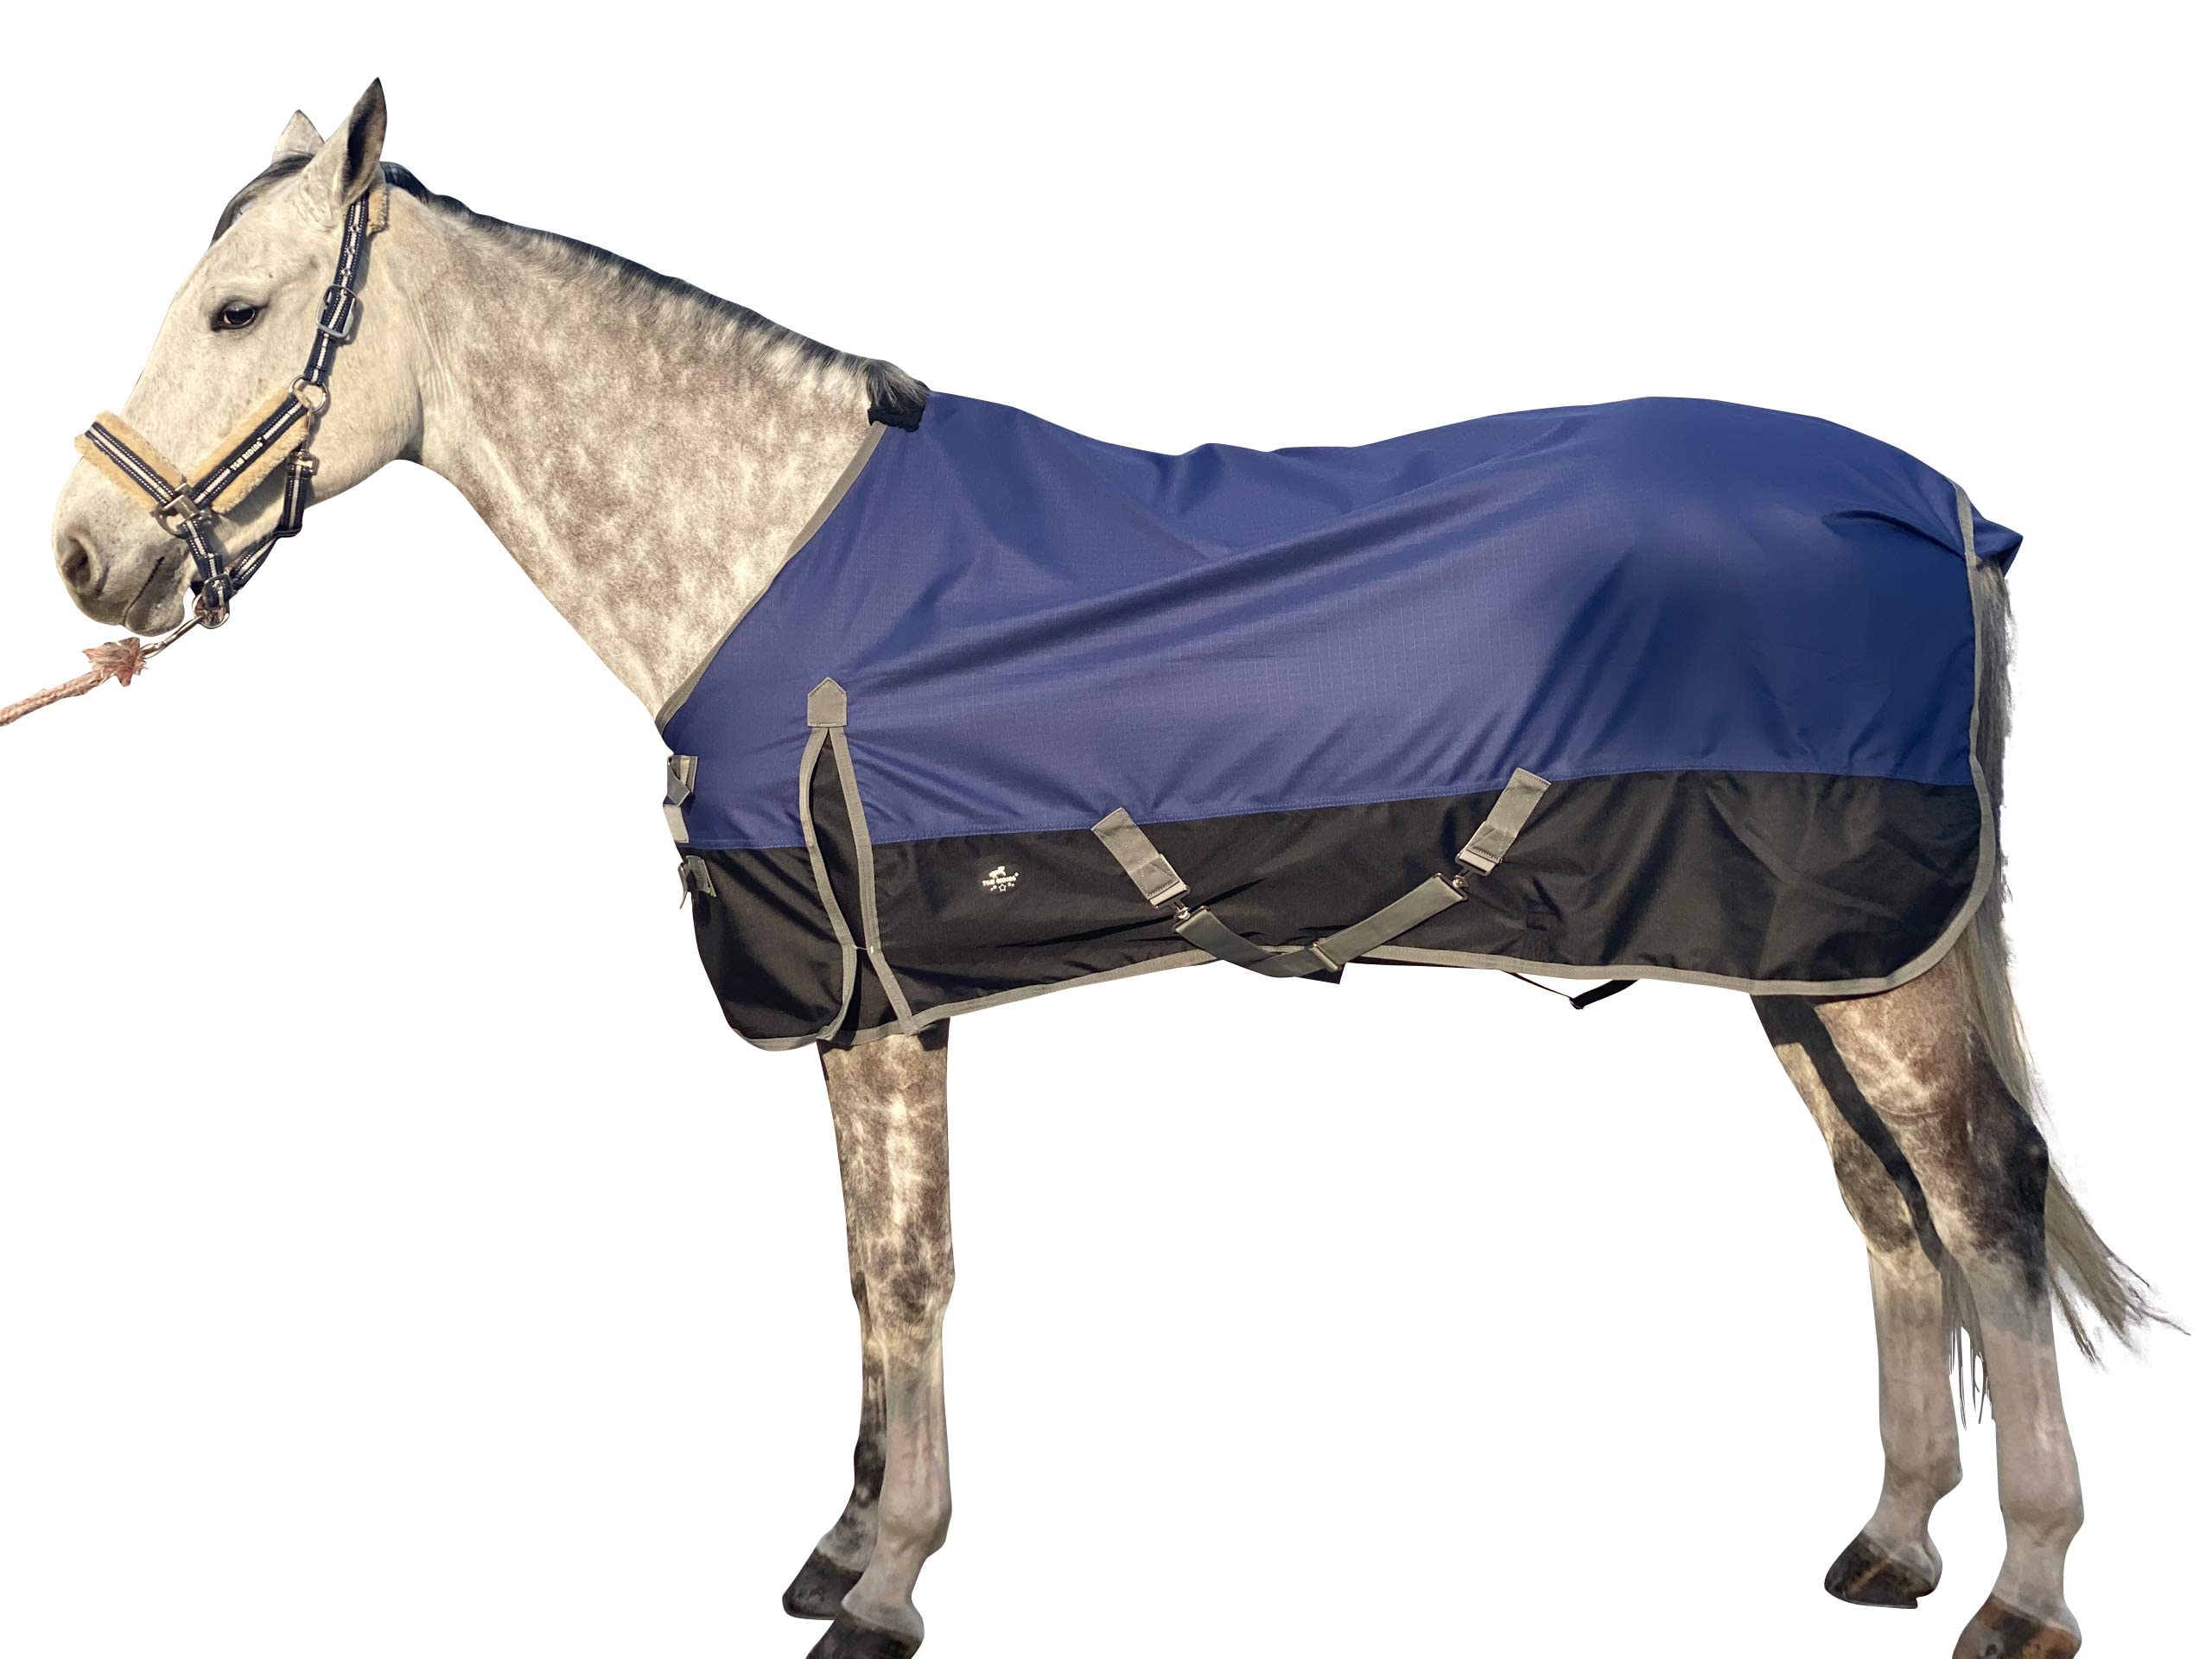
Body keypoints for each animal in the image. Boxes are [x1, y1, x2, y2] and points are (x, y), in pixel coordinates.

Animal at [46, 81, 2162, 1659]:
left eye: (235, 311)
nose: (81, 555)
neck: (778, 555)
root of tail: (1942, 507)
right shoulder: (864, 1004)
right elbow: (860, 1271)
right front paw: (842, 1545)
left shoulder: (880, 1001)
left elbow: (908, 1272)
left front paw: (888, 1584)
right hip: (1806, 960)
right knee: (1884, 1211)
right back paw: (1894, 1541)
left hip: (1876, 970)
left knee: (1982, 1202)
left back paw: (2026, 1589)